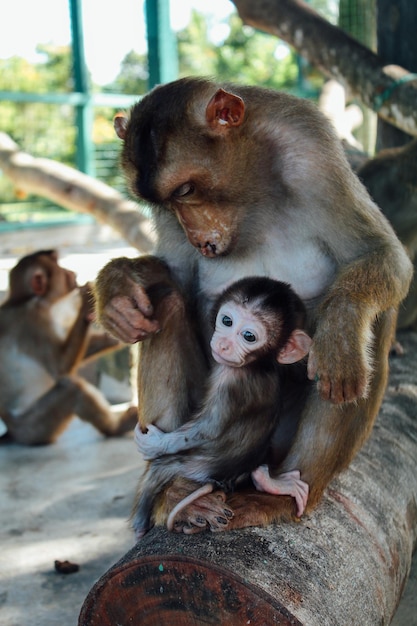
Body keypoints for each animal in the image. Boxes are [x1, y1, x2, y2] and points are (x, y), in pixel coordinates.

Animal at [0, 249, 136, 444]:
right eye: (62, 271)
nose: (73, 273)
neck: (22, 299)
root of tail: (13, 432)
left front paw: (114, 338)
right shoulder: (34, 318)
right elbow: (61, 368)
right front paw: (87, 302)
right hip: (34, 428)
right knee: (73, 388)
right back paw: (116, 428)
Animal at [134, 278, 312, 536]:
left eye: (249, 336)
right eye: (227, 321)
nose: (224, 344)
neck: (258, 365)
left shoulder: (228, 381)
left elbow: (207, 429)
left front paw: (155, 443)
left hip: (189, 467)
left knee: (157, 471)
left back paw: (140, 522)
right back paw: (267, 479)